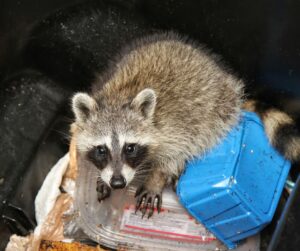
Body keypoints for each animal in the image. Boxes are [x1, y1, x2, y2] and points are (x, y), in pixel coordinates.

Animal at [72, 32, 300, 218]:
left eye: (130, 148)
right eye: (101, 149)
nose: (118, 183)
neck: (118, 98)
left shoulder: (176, 127)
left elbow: (174, 155)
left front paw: (156, 178)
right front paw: (102, 176)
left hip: (217, 111)